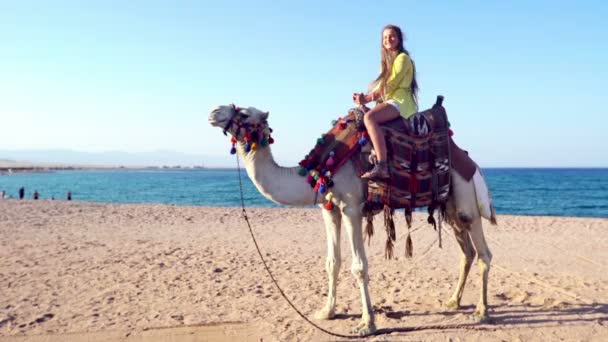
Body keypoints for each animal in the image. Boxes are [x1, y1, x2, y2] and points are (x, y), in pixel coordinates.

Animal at [209, 103, 494, 334]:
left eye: (244, 113)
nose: (214, 112)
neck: (321, 169)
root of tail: (473, 164)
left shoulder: (351, 208)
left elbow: (359, 266)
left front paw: (367, 323)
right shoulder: (329, 209)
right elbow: (332, 262)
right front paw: (327, 312)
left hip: (467, 201)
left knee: (483, 254)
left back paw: (481, 312)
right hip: (451, 209)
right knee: (467, 253)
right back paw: (454, 301)